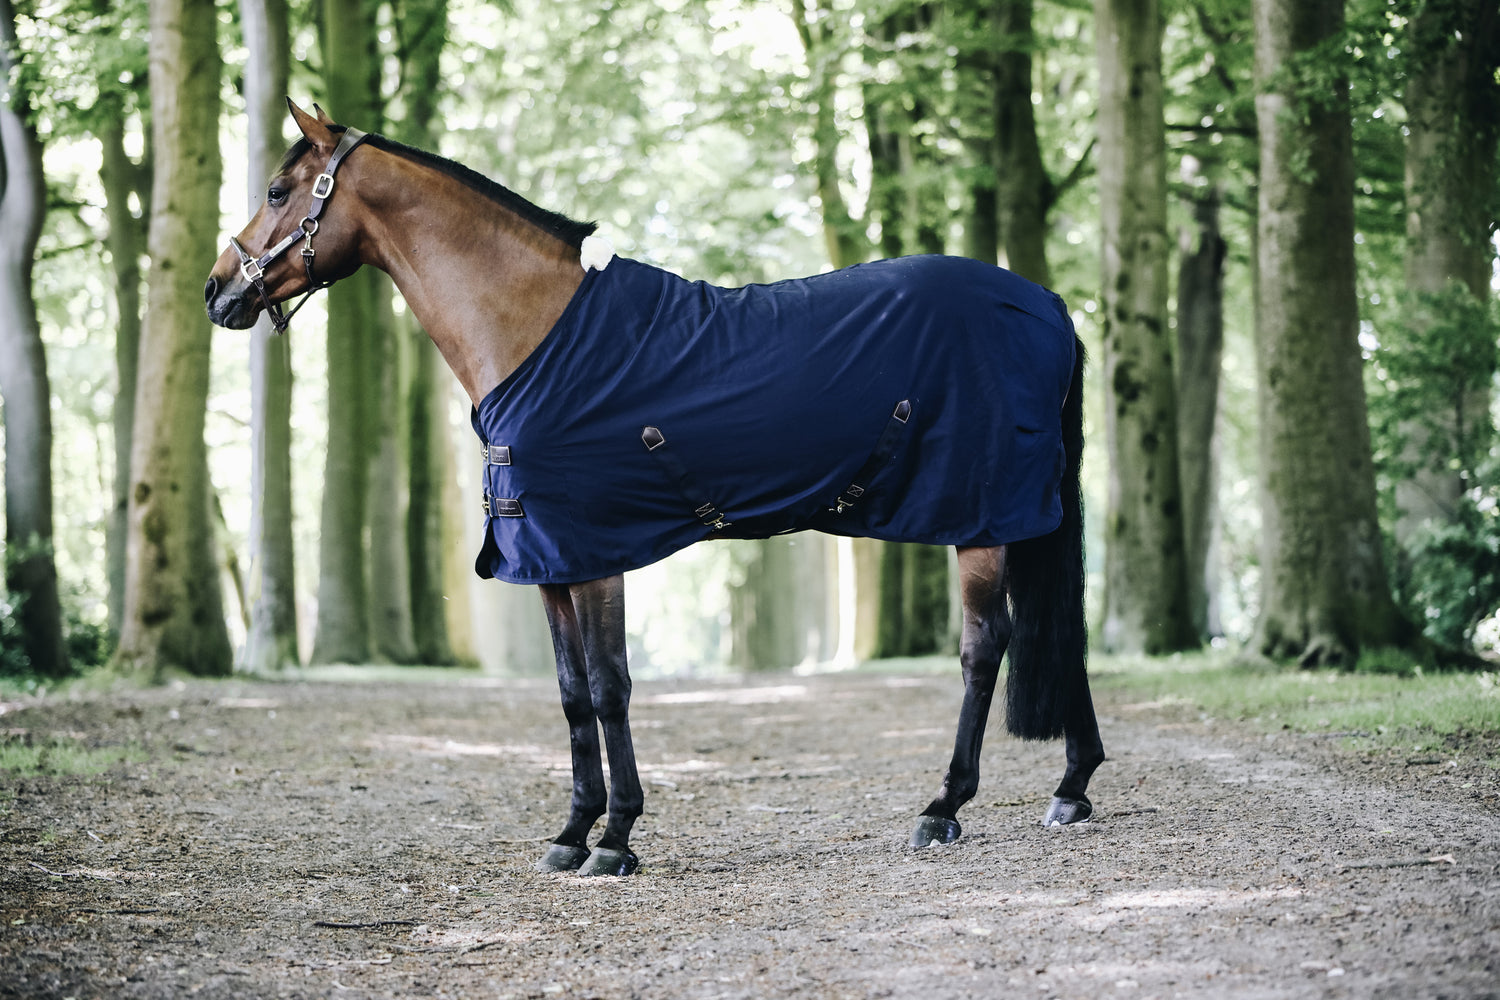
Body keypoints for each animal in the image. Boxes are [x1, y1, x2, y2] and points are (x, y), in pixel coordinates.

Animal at [205, 100, 1105, 878]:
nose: (219, 290)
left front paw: (617, 837)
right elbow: (572, 695)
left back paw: (944, 805)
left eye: (279, 191)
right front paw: (572, 831)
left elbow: (610, 688)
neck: (538, 332)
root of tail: (1050, 304)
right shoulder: (548, 561)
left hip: (983, 518)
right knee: (1061, 631)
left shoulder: (594, 551)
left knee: (985, 647)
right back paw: (1072, 787)